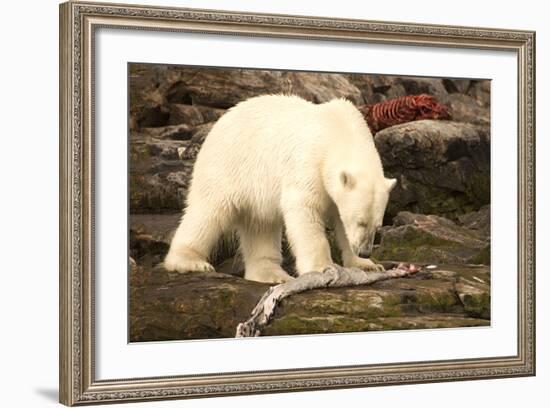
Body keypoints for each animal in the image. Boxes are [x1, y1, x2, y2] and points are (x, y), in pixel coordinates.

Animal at [164, 94, 396, 282]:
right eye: (360, 221)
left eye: (378, 226)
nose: (365, 251)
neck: (339, 130)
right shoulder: (309, 163)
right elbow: (304, 209)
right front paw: (323, 267)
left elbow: (340, 222)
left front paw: (368, 265)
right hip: (229, 166)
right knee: (209, 212)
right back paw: (189, 262)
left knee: (260, 225)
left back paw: (272, 275)